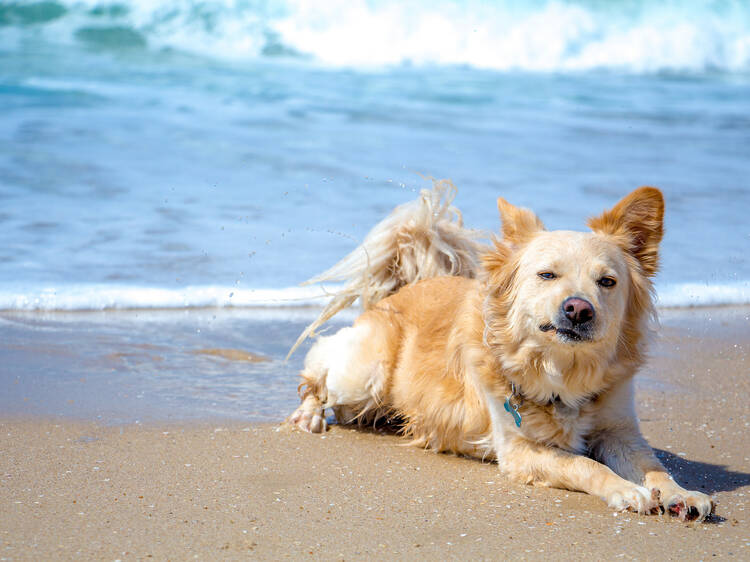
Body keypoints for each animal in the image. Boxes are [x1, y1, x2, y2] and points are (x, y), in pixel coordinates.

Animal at [286, 180, 716, 520]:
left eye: (607, 282)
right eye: (547, 275)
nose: (578, 309)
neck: (564, 370)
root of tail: (405, 288)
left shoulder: (621, 433)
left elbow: (655, 467)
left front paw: (682, 493)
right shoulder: (519, 448)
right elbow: (583, 464)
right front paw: (626, 489)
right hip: (365, 375)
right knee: (318, 369)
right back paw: (309, 414)